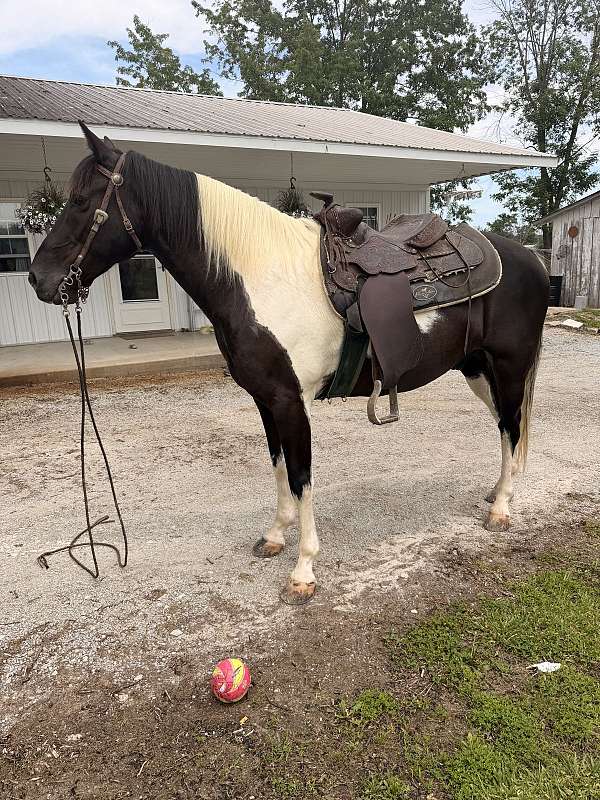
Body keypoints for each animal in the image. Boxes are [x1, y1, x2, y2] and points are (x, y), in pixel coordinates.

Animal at [28, 123, 549, 604]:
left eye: (81, 201)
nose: (38, 279)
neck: (260, 278)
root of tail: (529, 258)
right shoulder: (266, 399)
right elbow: (279, 468)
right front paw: (276, 537)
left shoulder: (291, 400)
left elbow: (301, 478)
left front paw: (304, 571)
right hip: (478, 369)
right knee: (506, 428)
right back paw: (497, 492)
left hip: (509, 365)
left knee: (511, 426)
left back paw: (501, 509)